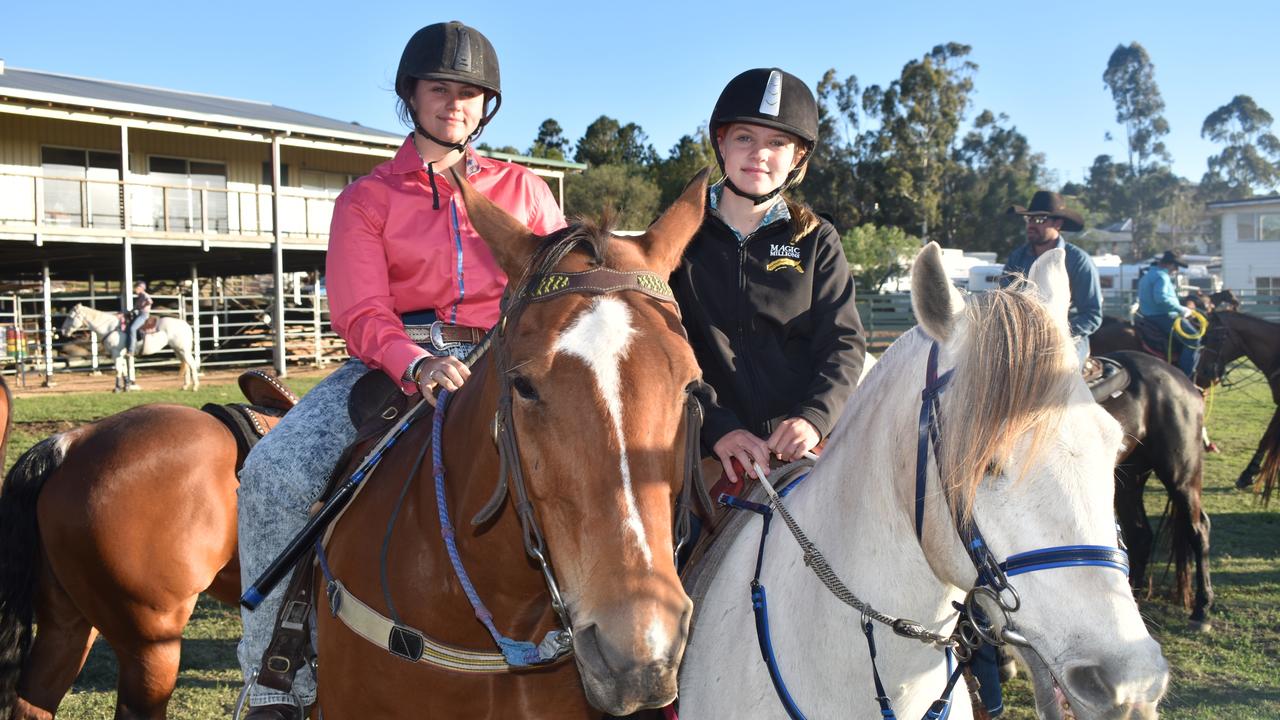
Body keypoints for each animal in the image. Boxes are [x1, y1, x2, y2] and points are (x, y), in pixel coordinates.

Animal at [60, 302, 198, 392]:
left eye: (70, 317)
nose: (63, 331)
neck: (110, 327)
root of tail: (185, 324)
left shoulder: (116, 353)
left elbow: (118, 369)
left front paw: (117, 388)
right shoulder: (120, 354)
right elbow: (124, 369)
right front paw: (127, 386)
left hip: (183, 349)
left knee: (191, 364)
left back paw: (195, 386)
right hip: (178, 350)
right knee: (186, 364)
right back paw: (185, 386)